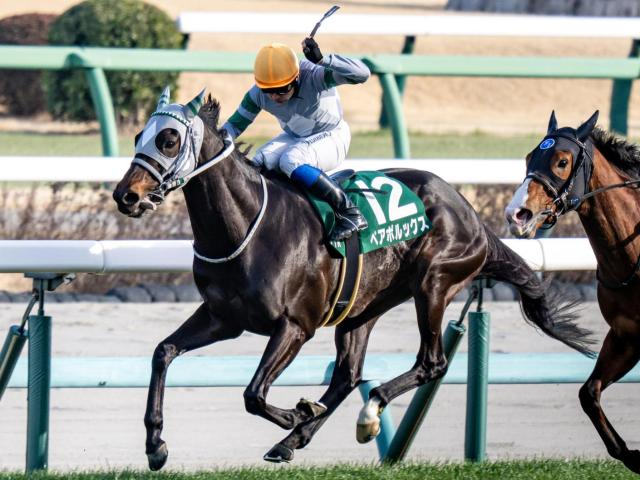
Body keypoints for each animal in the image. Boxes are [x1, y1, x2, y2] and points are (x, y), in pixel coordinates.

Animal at [112, 89, 595, 470]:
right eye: (138, 137)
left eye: (169, 138)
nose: (125, 195)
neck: (246, 225)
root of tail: (472, 216)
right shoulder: (223, 318)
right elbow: (163, 352)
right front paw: (155, 445)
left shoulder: (295, 325)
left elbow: (253, 393)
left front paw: (296, 412)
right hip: (361, 308)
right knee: (347, 375)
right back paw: (294, 440)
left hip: (434, 283)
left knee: (430, 363)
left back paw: (359, 414)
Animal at [505, 110, 640, 473]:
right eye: (529, 157)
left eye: (562, 161)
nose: (516, 215)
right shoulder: (625, 335)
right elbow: (588, 394)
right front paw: (631, 455)